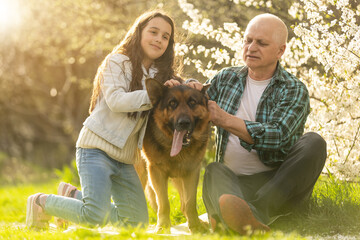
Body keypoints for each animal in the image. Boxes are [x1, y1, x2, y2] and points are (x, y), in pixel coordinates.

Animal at [136, 78, 211, 233]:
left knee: (183, 204)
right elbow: (163, 202)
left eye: (192, 102)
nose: (183, 123)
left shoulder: (191, 172)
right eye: (172, 103)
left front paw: (195, 226)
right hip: (141, 172)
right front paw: (163, 227)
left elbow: (190, 202)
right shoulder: (156, 173)